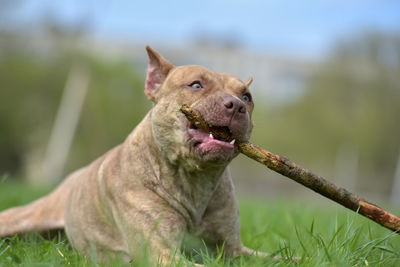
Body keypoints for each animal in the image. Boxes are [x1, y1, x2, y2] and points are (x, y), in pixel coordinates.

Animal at [1, 46, 268, 266]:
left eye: (247, 97)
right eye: (195, 85)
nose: (236, 105)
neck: (195, 180)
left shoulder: (234, 249)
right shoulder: (161, 253)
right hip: (27, 216)